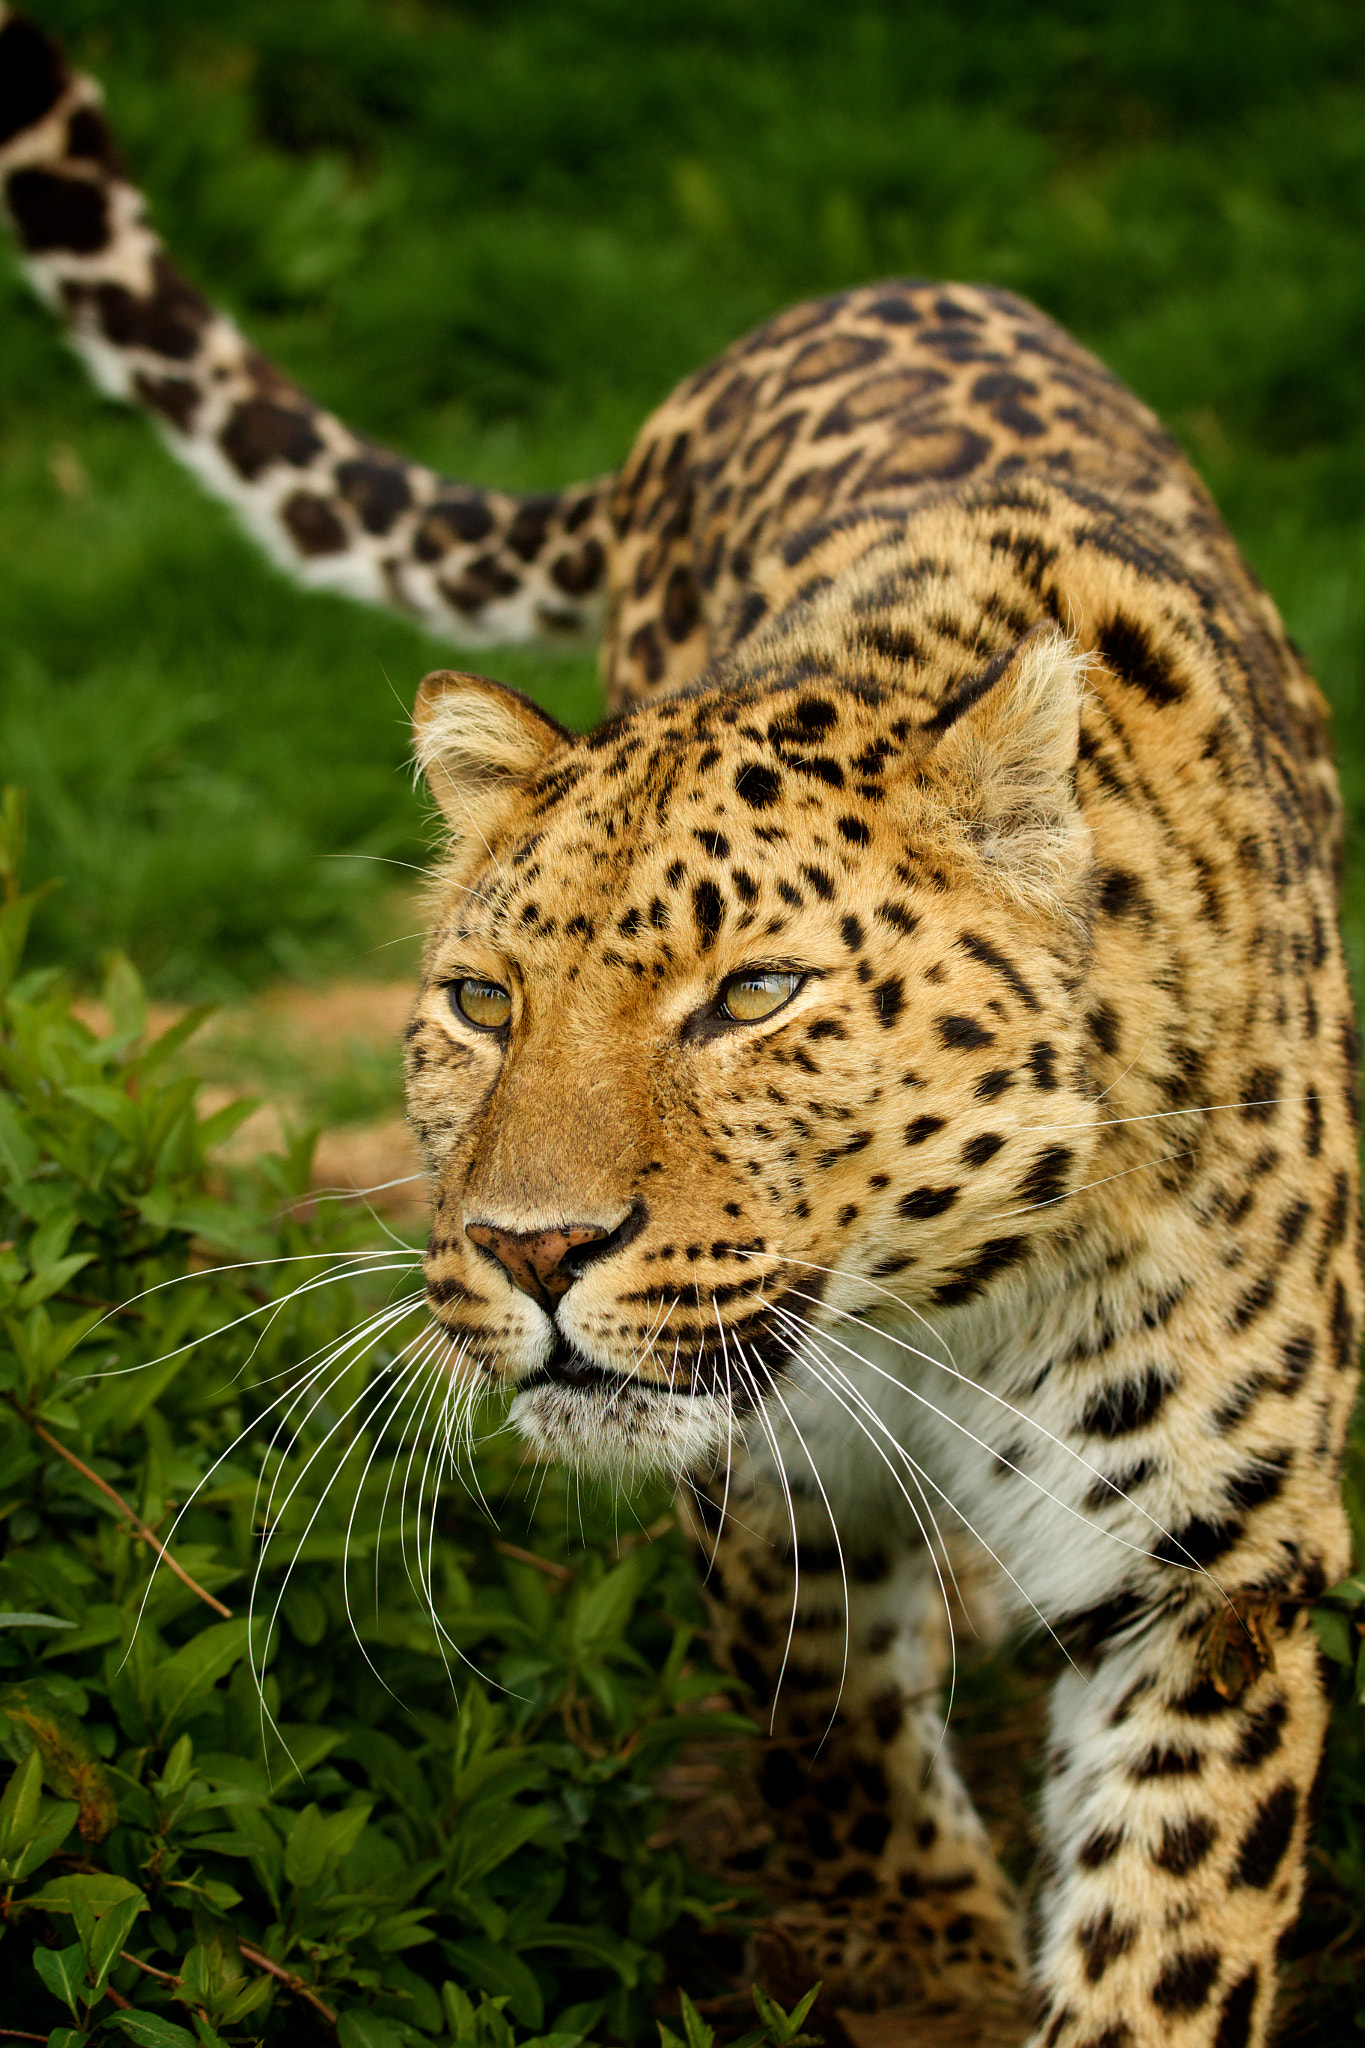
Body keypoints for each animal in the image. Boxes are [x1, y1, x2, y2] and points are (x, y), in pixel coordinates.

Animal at [5, 16, 1358, 2048]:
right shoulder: (773, 1507)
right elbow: (839, 1760)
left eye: (756, 997)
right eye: (484, 1003)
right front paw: (929, 1968)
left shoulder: (1215, 1566)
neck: (949, 1310)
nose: (529, 1249)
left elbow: (1165, 1937)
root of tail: (856, 289)